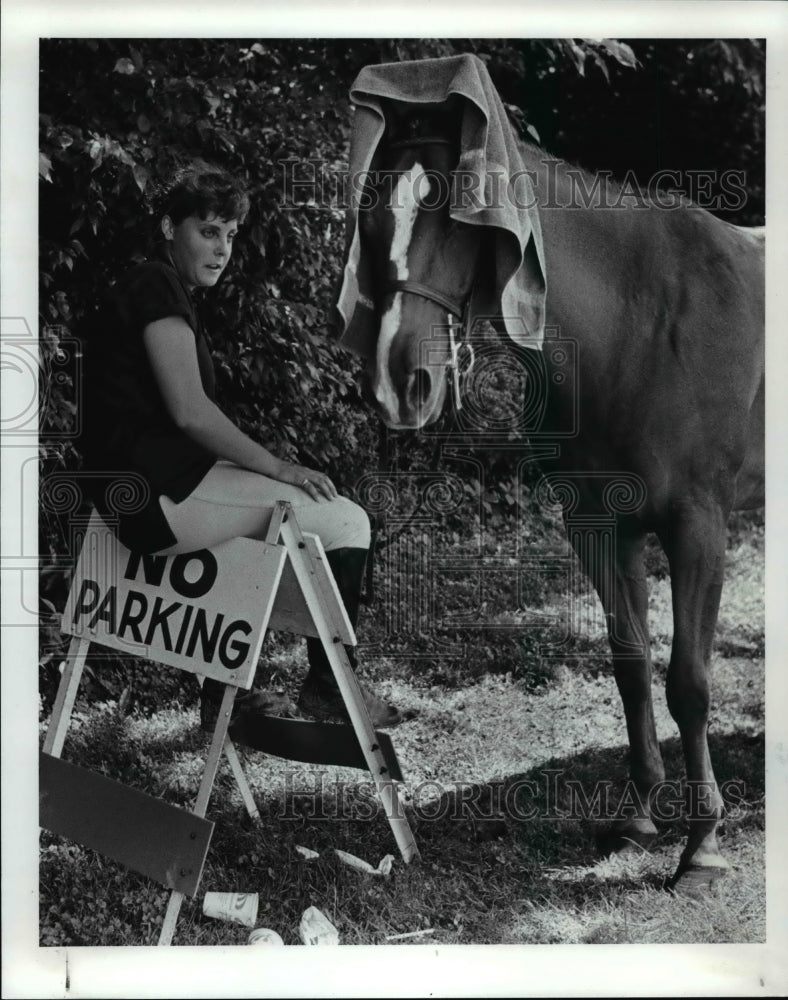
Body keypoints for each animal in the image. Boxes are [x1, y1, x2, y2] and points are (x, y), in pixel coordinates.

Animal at [350, 109, 764, 892]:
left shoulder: (698, 527)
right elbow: (630, 667)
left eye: (456, 219)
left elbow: (689, 683)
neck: (641, 322)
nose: (397, 381)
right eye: (370, 217)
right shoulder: (599, 524)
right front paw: (639, 815)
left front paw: (702, 844)